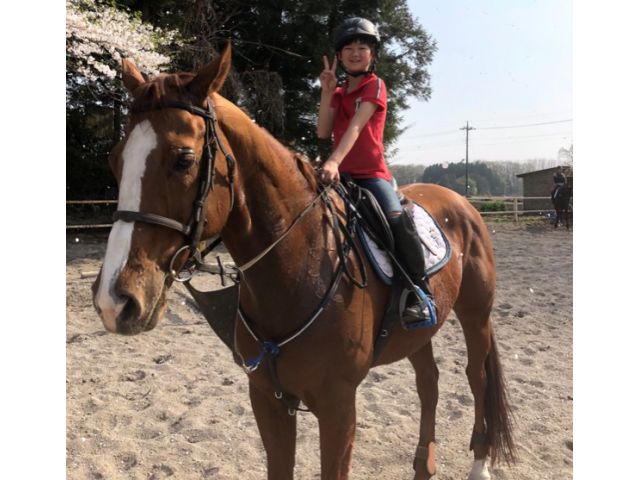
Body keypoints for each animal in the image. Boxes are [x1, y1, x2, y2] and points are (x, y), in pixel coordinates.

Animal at [91, 43, 516, 480]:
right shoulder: (267, 399)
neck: (301, 265)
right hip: (421, 330)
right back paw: (424, 464)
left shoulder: (338, 406)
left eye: (183, 159)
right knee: (428, 382)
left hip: (476, 314)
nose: (114, 301)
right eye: (115, 159)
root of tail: (461, 202)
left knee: (476, 377)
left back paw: (479, 463)